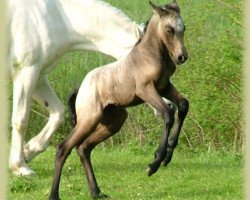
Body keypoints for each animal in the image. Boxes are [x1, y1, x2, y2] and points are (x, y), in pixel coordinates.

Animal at [7, 0, 144, 176]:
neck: (54, 17)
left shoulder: (38, 76)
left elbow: (58, 113)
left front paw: (28, 151)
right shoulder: (26, 73)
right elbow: (21, 120)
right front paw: (20, 167)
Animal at [49, 1, 188, 198]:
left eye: (184, 28)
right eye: (169, 29)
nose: (181, 57)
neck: (151, 55)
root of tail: (81, 89)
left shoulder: (165, 87)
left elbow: (183, 105)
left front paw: (168, 155)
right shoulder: (146, 90)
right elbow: (168, 114)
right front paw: (154, 164)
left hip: (114, 121)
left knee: (84, 148)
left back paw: (96, 192)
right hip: (89, 119)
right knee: (63, 148)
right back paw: (54, 194)